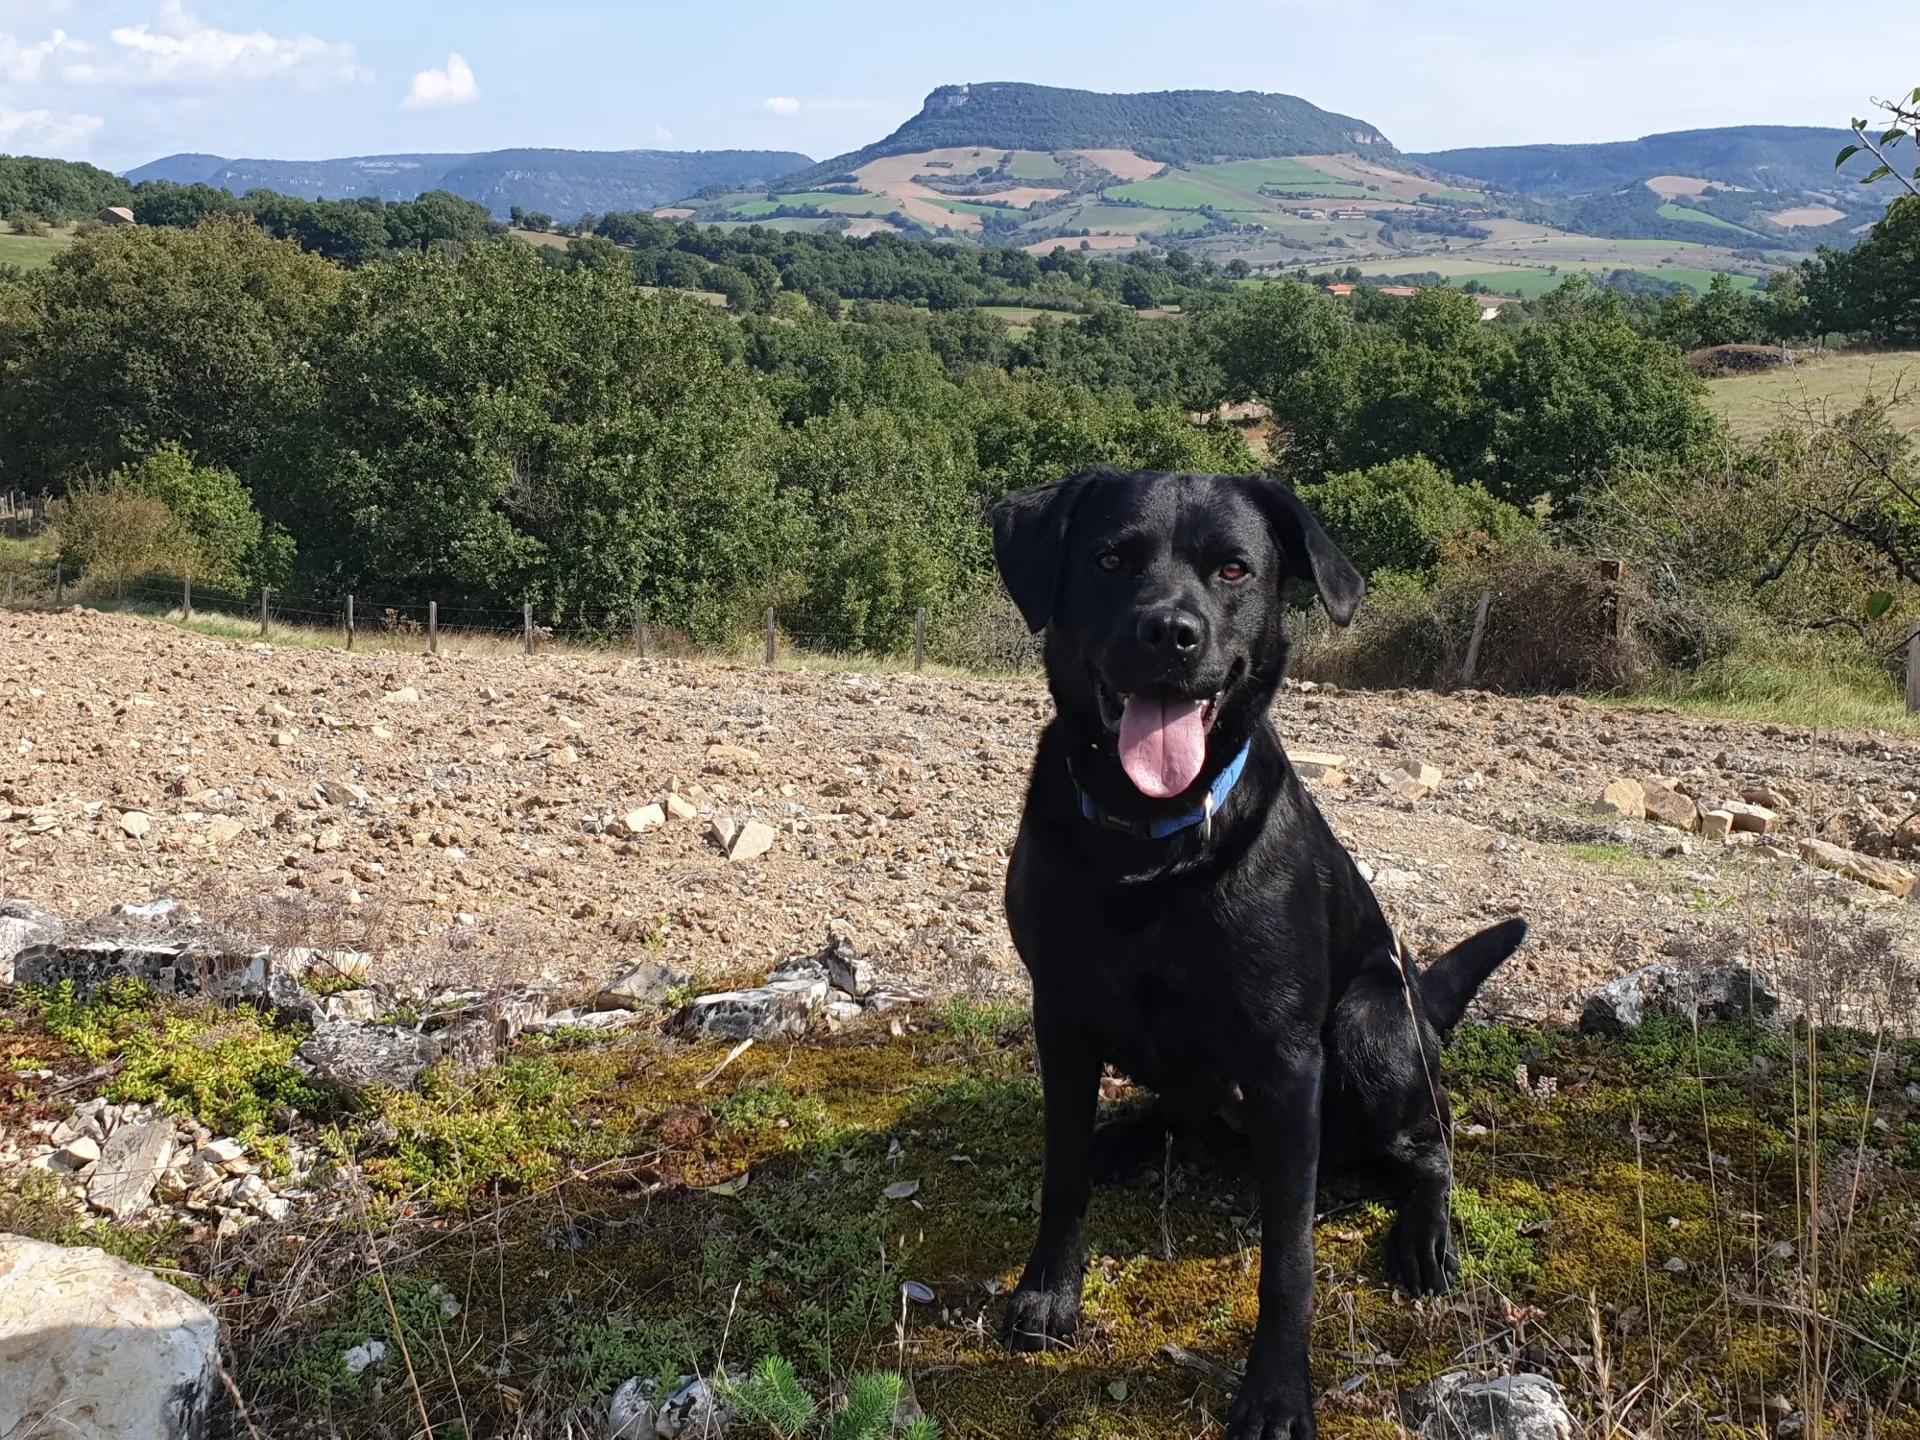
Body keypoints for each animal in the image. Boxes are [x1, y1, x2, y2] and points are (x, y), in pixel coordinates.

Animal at [998, 468, 1520, 1436]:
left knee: (1431, 1143)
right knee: (1182, 1114)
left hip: (1371, 1024)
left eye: (1234, 569)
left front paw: (1277, 1391)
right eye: (1110, 559)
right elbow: (1061, 1173)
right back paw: (1130, 1137)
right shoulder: (1062, 1016)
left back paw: (1425, 1235)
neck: (1151, 842)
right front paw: (1050, 1292)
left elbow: (1290, 1263)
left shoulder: (1285, 1059)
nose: (1171, 632)